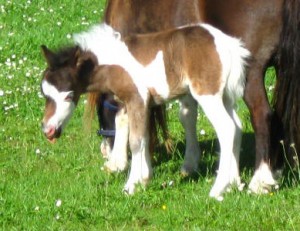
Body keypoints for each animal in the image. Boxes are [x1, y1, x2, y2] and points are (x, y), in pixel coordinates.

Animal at [40, 23, 251, 200]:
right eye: (45, 94)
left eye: (69, 96)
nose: (48, 130)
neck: (113, 62)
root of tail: (229, 45)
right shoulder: (136, 103)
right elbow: (144, 137)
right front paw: (145, 178)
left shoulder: (137, 98)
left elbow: (135, 141)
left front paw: (131, 186)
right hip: (226, 96)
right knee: (238, 126)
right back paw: (234, 183)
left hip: (207, 94)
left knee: (227, 128)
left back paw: (217, 189)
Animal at [95, 0, 300, 193]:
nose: (104, 150)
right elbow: (185, 117)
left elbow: (127, 118)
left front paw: (120, 164)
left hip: (251, 73)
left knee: (261, 116)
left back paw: (260, 180)